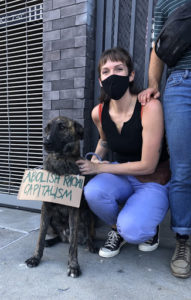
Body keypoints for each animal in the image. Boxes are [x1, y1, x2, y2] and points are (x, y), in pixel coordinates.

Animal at [25, 116, 96, 278]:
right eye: (47, 128)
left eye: (62, 127)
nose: (45, 142)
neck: (61, 160)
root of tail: (65, 235)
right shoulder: (45, 208)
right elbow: (40, 237)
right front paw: (35, 258)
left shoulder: (74, 210)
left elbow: (73, 246)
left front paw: (73, 265)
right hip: (52, 221)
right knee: (56, 236)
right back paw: (50, 241)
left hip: (88, 214)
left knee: (87, 235)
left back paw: (91, 245)